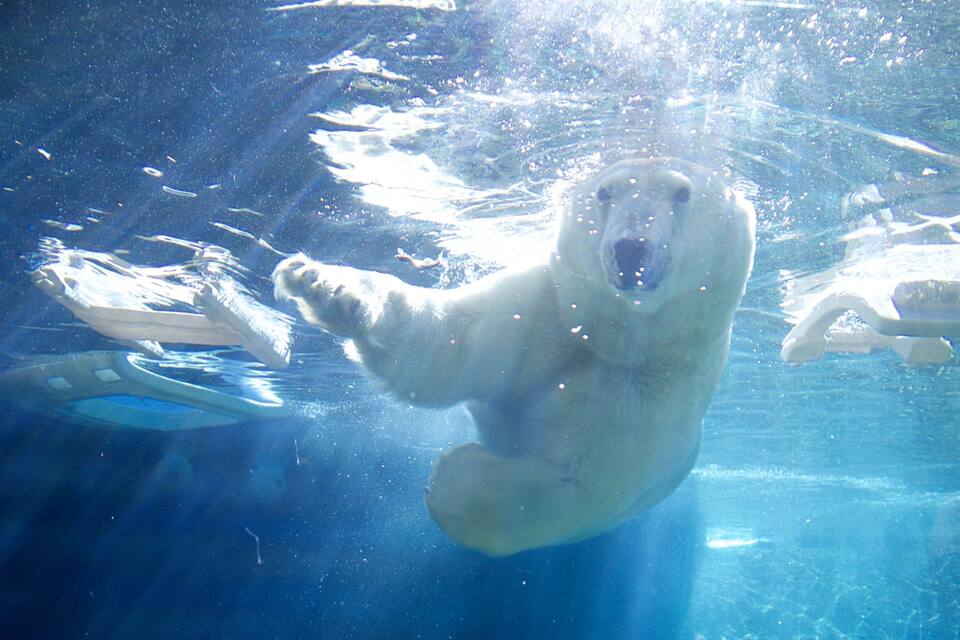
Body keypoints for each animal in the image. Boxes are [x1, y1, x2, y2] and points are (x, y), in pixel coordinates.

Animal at [273, 157, 756, 556]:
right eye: (605, 192)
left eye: (682, 192)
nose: (630, 249)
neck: (610, 336)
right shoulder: (545, 307)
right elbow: (446, 344)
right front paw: (324, 285)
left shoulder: (651, 393)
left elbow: (575, 488)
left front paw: (447, 476)